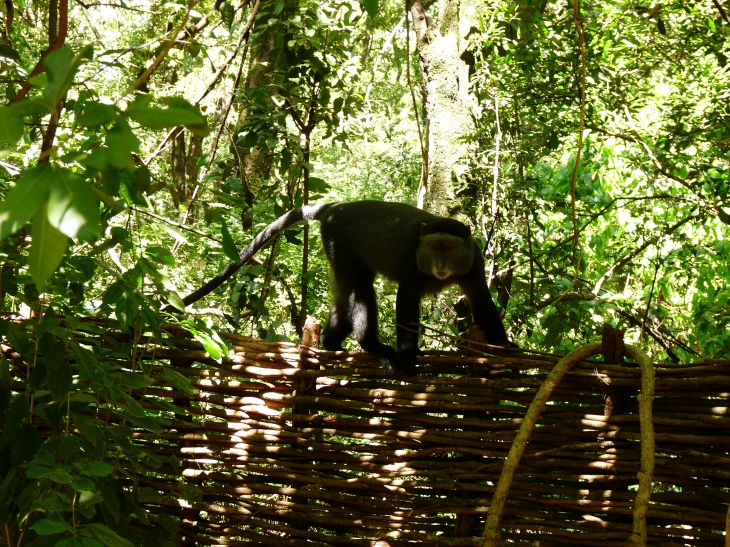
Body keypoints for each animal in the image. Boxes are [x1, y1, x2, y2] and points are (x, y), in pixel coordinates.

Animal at [177, 201, 512, 372]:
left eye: (449, 247)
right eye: (434, 247)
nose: (441, 264)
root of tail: (336, 207)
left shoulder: (473, 260)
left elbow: (481, 299)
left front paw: (506, 347)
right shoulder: (411, 262)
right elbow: (406, 301)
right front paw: (407, 354)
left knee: (343, 294)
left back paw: (330, 343)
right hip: (338, 240)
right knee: (360, 290)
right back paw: (371, 345)